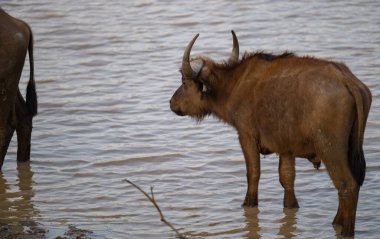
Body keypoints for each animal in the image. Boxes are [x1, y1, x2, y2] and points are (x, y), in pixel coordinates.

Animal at [171, 30, 372, 237]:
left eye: (184, 82)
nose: (172, 103)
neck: (234, 84)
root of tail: (348, 81)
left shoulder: (246, 136)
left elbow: (253, 173)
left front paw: (248, 203)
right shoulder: (286, 148)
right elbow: (287, 178)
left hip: (330, 149)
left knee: (347, 185)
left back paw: (346, 230)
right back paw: (337, 222)